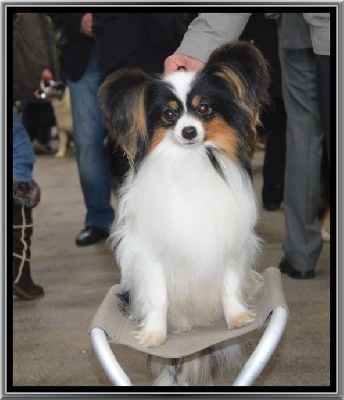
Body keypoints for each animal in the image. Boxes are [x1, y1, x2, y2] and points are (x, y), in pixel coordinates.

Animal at [98, 40, 270, 384]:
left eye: (203, 109)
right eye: (169, 114)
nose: (189, 131)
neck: (190, 160)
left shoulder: (228, 242)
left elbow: (229, 283)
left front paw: (237, 316)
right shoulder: (150, 252)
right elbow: (158, 297)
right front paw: (154, 334)